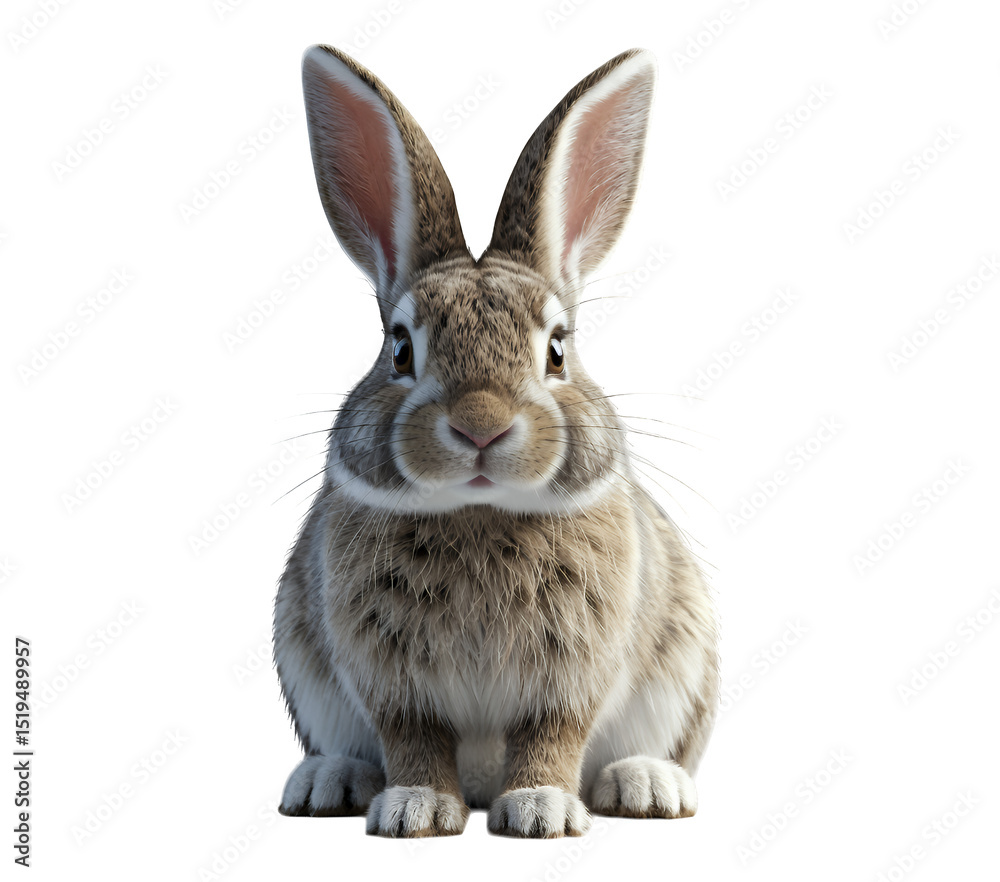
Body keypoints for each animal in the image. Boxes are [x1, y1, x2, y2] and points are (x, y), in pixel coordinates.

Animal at [272, 44, 719, 838]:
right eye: (399, 349)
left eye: (558, 351)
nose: (480, 423)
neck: (479, 513)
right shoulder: (390, 675)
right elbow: (413, 737)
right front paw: (416, 808)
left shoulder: (574, 667)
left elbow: (553, 732)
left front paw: (541, 809)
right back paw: (330, 780)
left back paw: (646, 784)